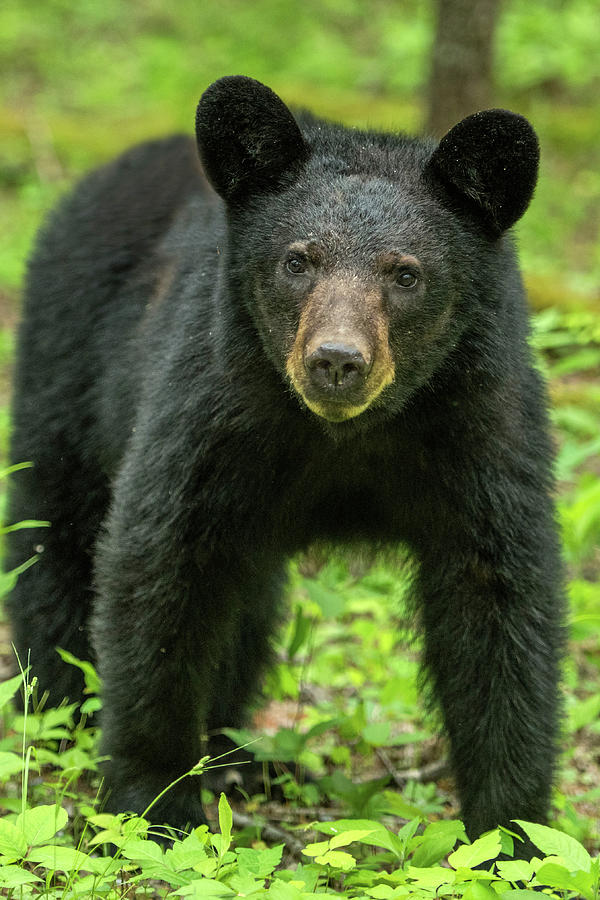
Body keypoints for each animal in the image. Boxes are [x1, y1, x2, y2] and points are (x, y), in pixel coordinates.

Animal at [7, 74, 564, 840]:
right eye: (298, 260)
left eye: (406, 274)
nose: (337, 360)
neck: (348, 435)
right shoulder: (211, 411)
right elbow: (160, 574)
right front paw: (154, 799)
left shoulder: (481, 427)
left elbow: (499, 601)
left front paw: (514, 832)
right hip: (65, 371)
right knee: (54, 540)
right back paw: (61, 707)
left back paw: (232, 751)